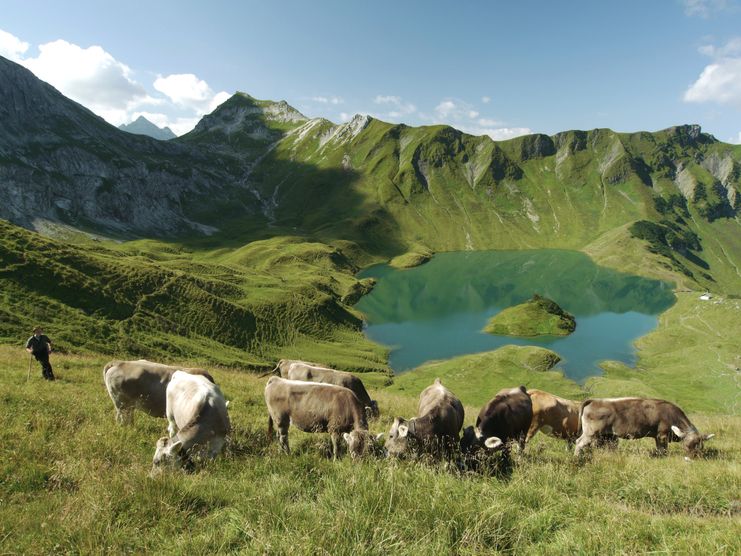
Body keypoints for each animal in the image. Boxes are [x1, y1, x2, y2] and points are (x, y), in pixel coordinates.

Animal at [576, 398, 712, 458]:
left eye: (700, 447)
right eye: (686, 445)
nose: (691, 459)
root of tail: (594, 400)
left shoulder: (657, 436)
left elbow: (659, 449)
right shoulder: (662, 435)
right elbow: (663, 450)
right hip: (590, 433)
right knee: (579, 442)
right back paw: (577, 457)